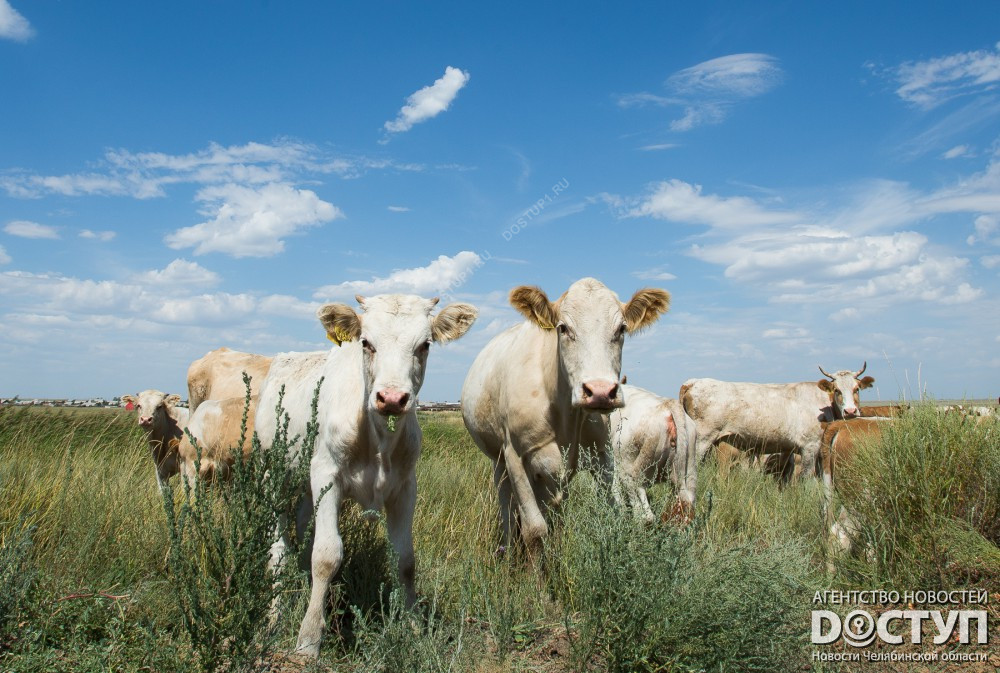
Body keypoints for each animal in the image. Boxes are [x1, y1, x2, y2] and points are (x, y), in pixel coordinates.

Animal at [256, 294, 478, 656]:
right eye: (366, 343)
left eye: (425, 345)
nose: (392, 398)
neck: (378, 439)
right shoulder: (326, 475)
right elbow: (326, 555)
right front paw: (308, 639)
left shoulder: (405, 487)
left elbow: (405, 560)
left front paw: (414, 626)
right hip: (271, 472)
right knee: (278, 549)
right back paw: (274, 614)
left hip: (305, 483)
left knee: (301, 532)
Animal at [462, 276, 672, 552]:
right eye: (563, 328)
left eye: (621, 329)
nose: (600, 392)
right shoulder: (515, 456)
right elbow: (535, 530)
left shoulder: (603, 455)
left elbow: (613, 511)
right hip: (499, 461)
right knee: (507, 508)